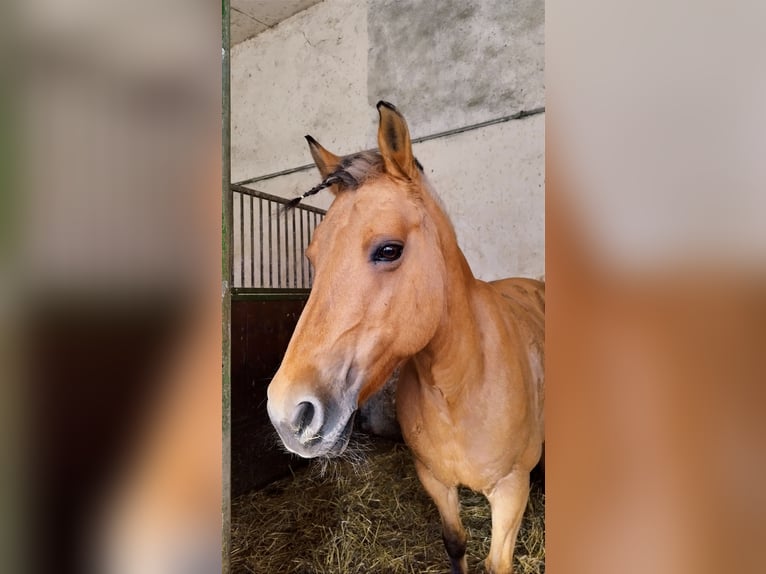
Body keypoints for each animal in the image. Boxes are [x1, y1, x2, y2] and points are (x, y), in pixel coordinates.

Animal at [270, 101, 544, 572]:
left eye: (389, 250)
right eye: (313, 256)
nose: (287, 414)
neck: (460, 389)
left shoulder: (511, 492)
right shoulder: (434, 481)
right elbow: (454, 542)